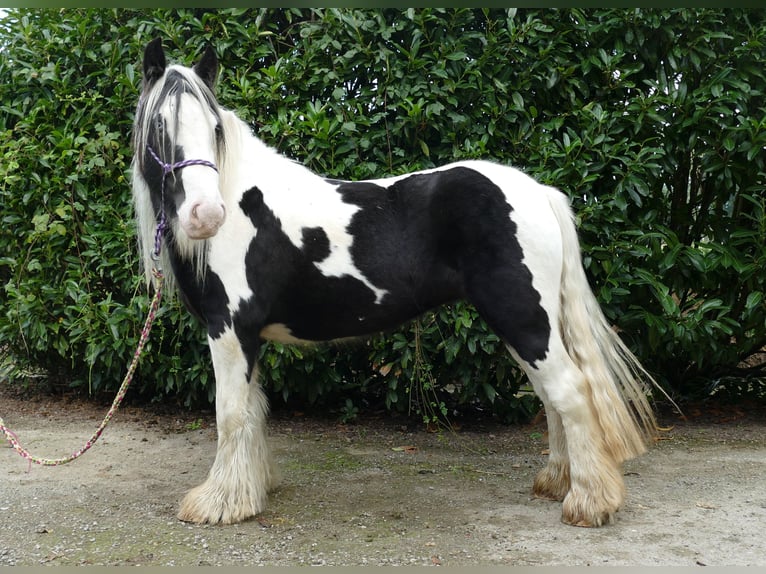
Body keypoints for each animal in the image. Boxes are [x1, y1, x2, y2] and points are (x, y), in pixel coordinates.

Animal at [132, 38, 660, 528]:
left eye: (215, 129)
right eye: (160, 126)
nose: (206, 215)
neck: (241, 206)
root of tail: (539, 192)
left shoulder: (229, 329)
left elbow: (230, 413)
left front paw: (219, 504)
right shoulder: (247, 338)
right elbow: (254, 410)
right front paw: (252, 489)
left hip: (524, 319)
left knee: (569, 391)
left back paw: (588, 503)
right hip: (527, 323)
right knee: (551, 397)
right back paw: (557, 483)